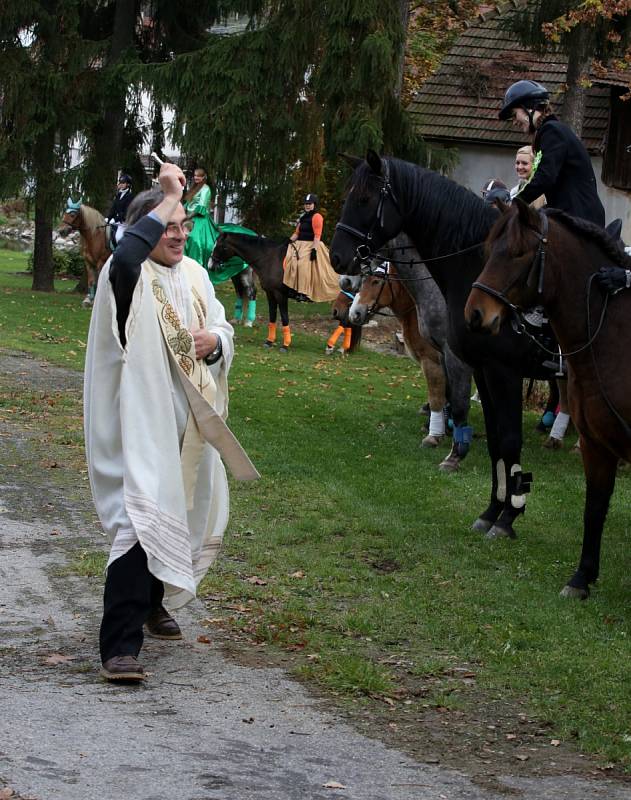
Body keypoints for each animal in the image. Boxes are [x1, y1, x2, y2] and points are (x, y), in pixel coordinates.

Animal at [464, 200, 631, 600]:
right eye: (487, 250)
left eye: (518, 253)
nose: (475, 313)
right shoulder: (597, 444)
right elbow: (594, 507)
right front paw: (581, 579)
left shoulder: (501, 373)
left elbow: (508, 443)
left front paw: (505, 516)